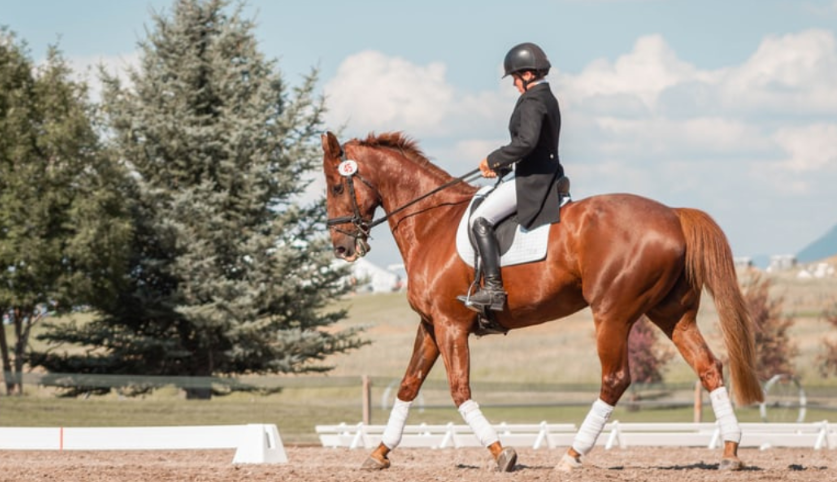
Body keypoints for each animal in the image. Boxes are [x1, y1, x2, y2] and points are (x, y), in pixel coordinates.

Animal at [320, 131, 763, 473]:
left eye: (337, 186)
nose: (342, 248)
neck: (431, 223)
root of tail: (673, 214)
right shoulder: (431, 325)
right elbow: (409, 385)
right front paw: (379, 453)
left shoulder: (450, 325)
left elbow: (459, 390)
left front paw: (502, 453)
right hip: (673, 315)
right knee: (709, 367)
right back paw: (730, 451)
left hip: (612, 315)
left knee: (615, 379)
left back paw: (572, 455)